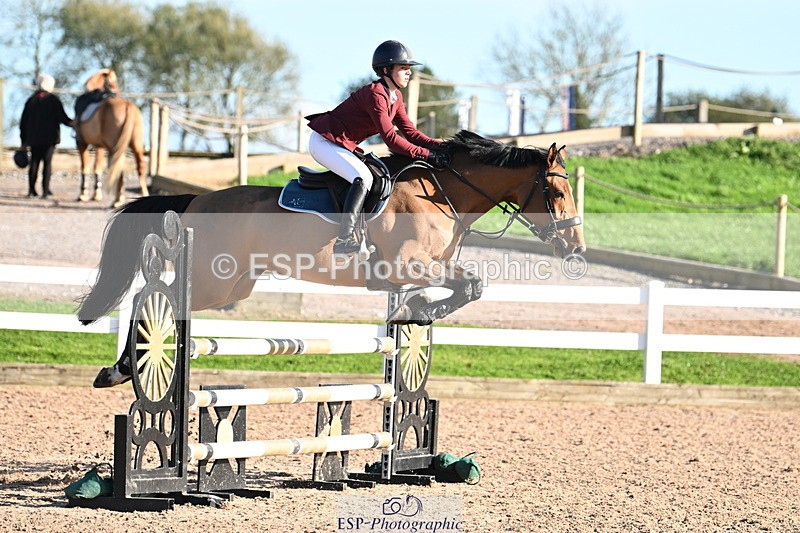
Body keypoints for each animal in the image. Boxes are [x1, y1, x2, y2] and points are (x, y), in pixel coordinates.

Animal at [75, 69, 149, 207]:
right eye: (111, 81)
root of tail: (127, 105)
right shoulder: (99, 146)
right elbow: (97, 167)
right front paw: (96, 194)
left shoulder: (81, 143)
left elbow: (85, 167)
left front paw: (83, 194)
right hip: (135, 145)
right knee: (139, 166)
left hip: (114, 147)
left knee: (118, 169)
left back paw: (117, 200)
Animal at [78, 130, 585, 388]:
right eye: (558, 193)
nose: (576, 249)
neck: (443, 194)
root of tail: (196, 201)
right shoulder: (405, 265)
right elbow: (473, 284)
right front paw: (421, 310)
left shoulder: (418, 269)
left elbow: (467, 287)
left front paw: (415, 312)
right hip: (211, 280)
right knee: (151, 294)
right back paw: (121, 368)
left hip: (231, 284)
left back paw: (121, 367)